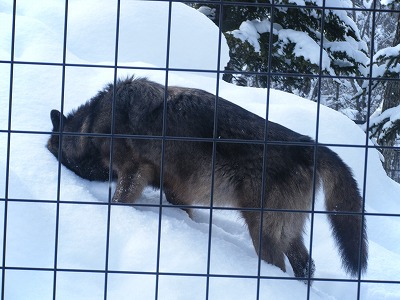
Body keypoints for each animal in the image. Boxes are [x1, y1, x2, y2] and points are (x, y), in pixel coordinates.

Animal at [46, 76, 366, 280]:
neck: (93, 124)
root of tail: (310, 145)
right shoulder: (176, 191)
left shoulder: (133, 172)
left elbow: (120, 200)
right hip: (287, 232)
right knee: (306, 266)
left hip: (262, 230)